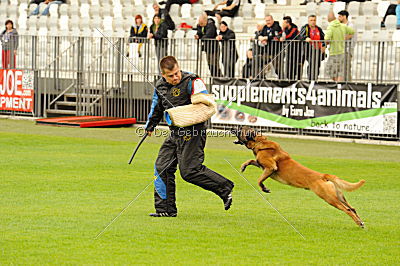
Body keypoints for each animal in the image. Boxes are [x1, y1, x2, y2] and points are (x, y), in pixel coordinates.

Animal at [234, 126, 366, 227]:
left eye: (241, 129)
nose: (232, 128)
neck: (259, 142)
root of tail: (323, 176)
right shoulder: (262, 165)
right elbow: (251, 161)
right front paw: (243, 166)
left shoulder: (271, 168)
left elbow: (259, 180)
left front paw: (264, 188)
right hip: (339, 196)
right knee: (352, 208)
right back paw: (361, 222)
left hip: (329, 198)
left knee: (347, 209)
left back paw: (359, 223)